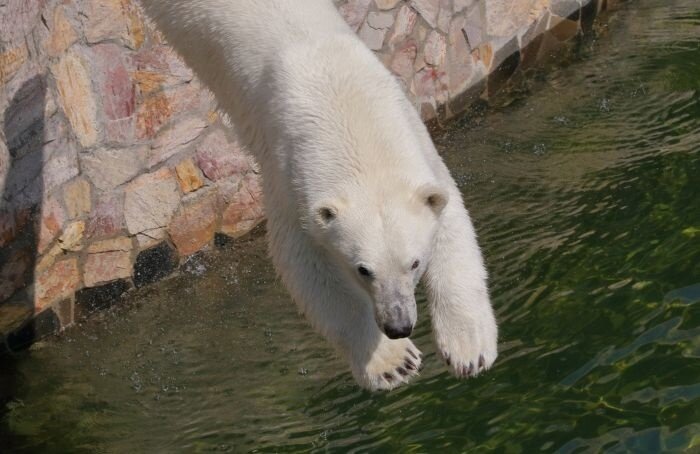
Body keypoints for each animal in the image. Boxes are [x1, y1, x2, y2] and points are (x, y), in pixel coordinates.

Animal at [138, 0, 498, 390]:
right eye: (363, 270)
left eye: (415, 262)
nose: (398, 325)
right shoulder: (287, 174)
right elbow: (306, 264)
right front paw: (393, 362)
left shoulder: (415, 139)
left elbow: (450, 220)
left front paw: (468, 348)